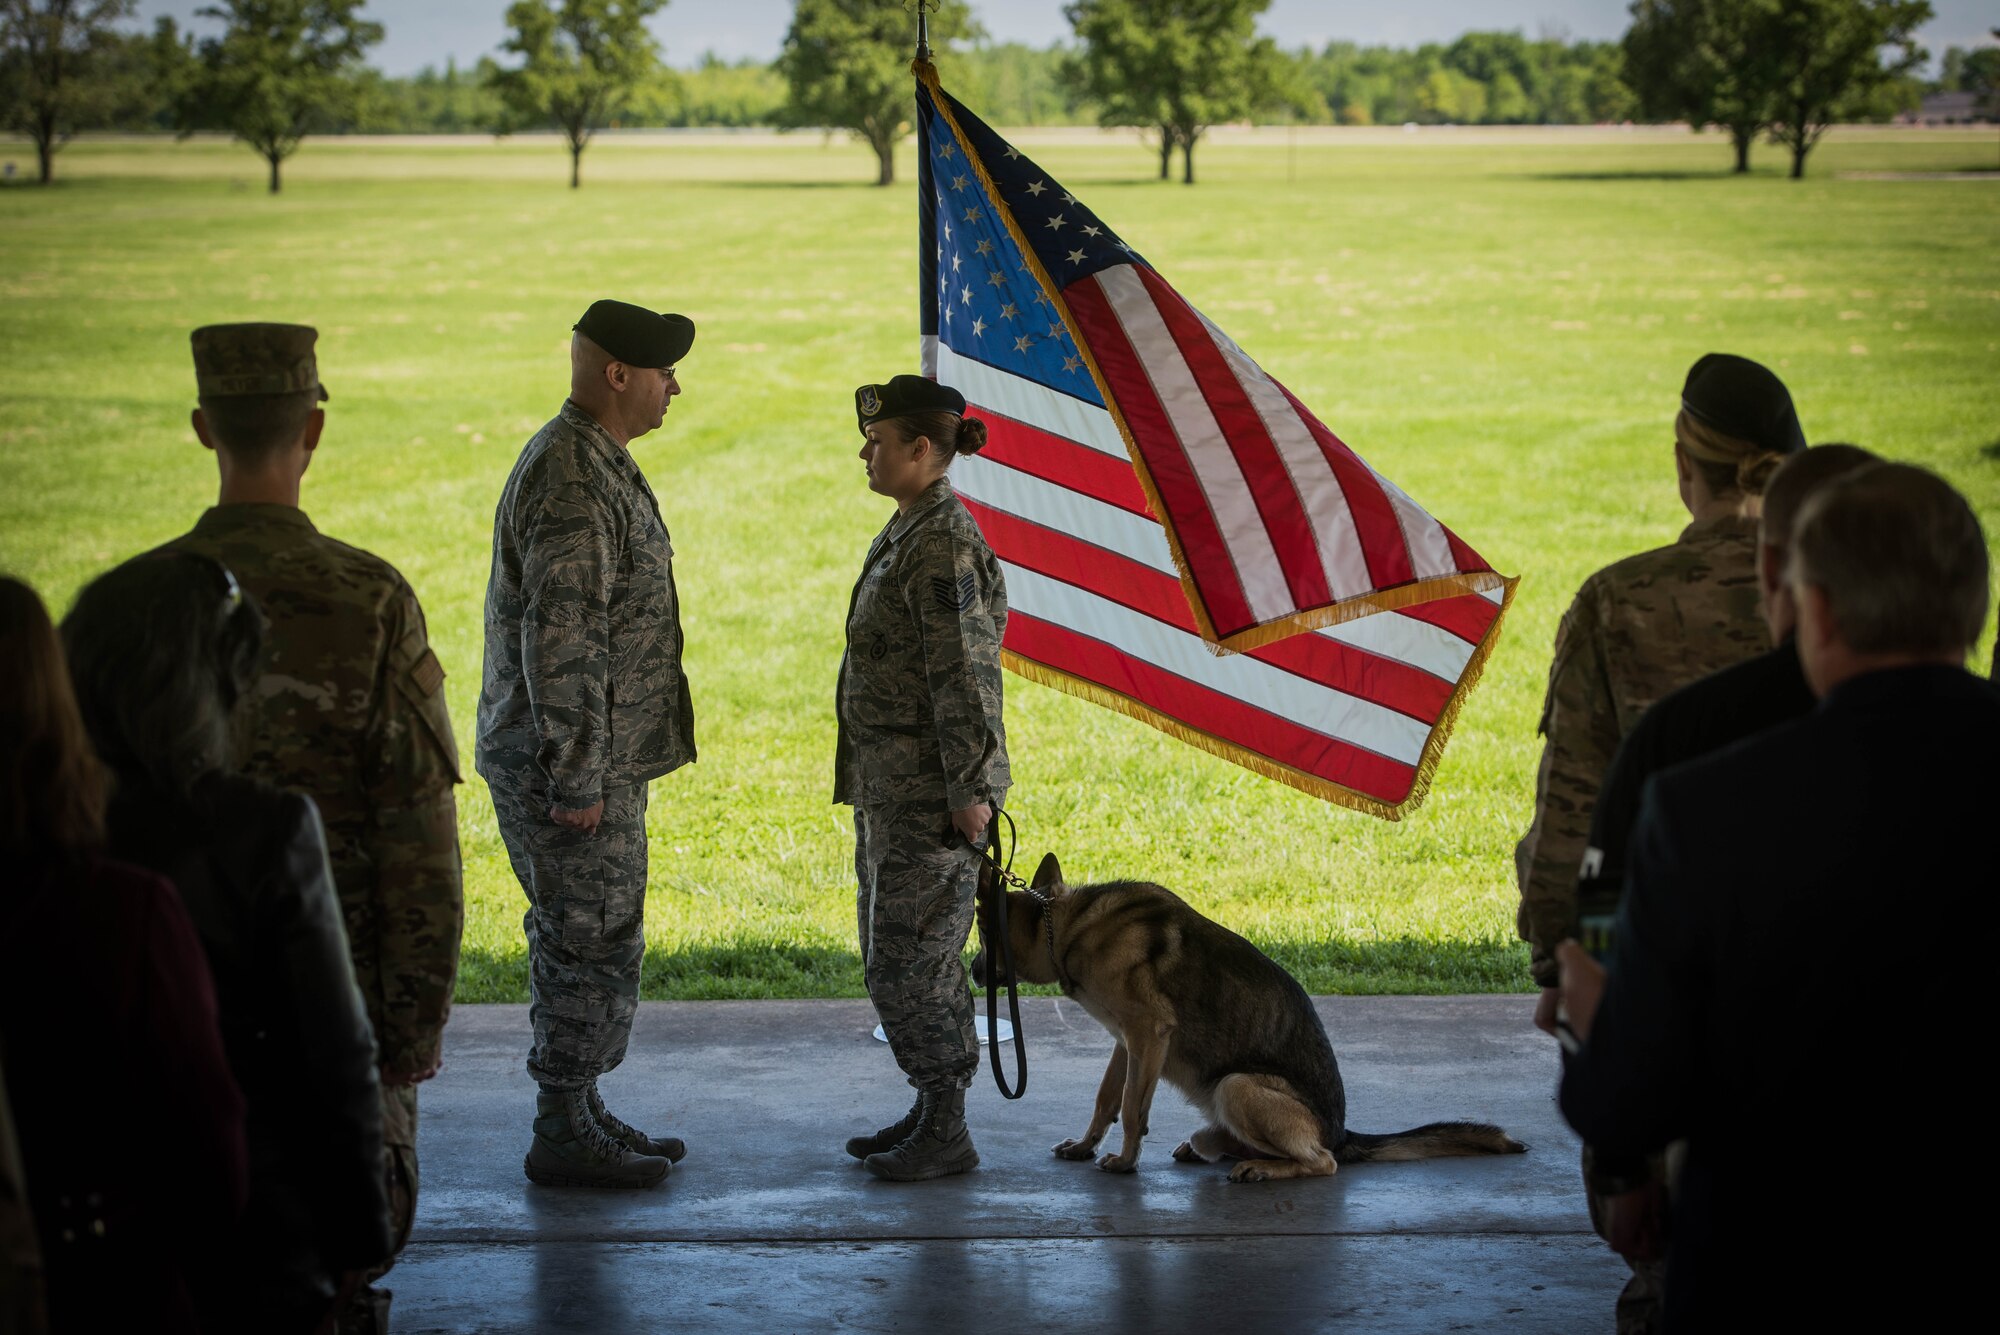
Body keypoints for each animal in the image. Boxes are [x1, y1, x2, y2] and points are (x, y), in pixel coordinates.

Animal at [976, 855, 1520, 1175]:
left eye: (983, 936)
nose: (975, 972)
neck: (1066, 928)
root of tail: (1341, 1133)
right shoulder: (1125, 1042)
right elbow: (1107, 1099)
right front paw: (1086, 1146)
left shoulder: (1147, 1035)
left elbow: (1132, 1107)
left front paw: (1127, 1161)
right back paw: (1216, 1149)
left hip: (1236, 1086)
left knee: (1322, 1163)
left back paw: (1266, 1167)